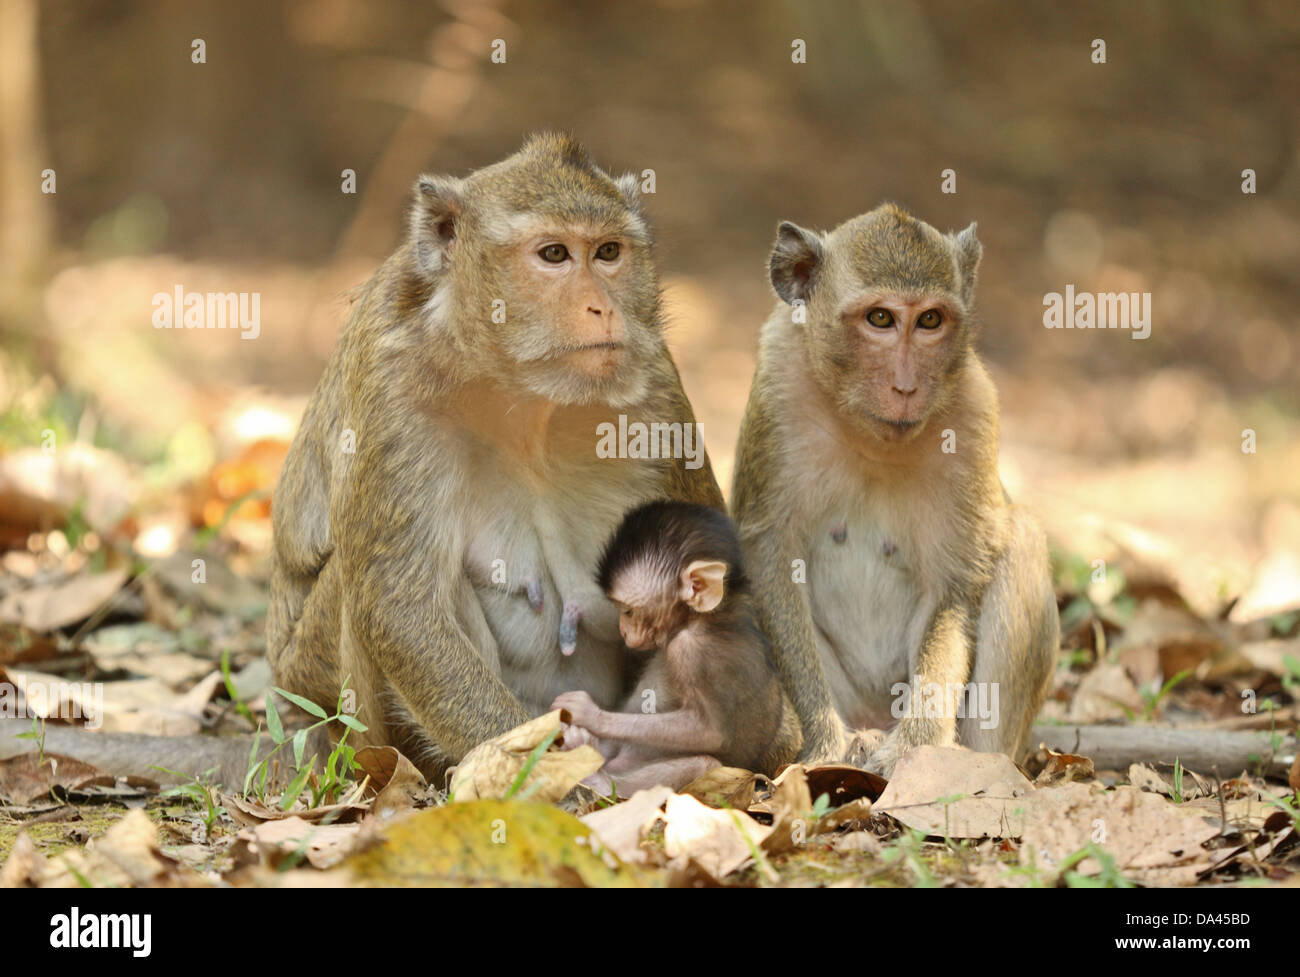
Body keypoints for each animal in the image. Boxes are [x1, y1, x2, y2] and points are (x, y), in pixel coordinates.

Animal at [265, 134, 725, 785]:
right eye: (555, 254)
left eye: (608, 252)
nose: (603, 307)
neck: (525, 396)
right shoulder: (390, 384)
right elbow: (401, 609)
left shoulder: (654, 382)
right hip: (321, 694)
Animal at [551, 500, 801, 794]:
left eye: (628, 611)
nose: (623, 630)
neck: (705, 617)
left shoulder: (692, 651)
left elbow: (709, 732)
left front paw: (591, 714)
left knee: (704, 764)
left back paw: (597, 778)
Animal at [729, 203, 1059, 777]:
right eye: (880, 319)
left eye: (929, 320)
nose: (906, 386)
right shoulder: (778, 384)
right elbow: (770, 555)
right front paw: (824, 742)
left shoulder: (975, 413)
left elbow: (954, 583)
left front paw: (915, 747)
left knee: (1022, 539)